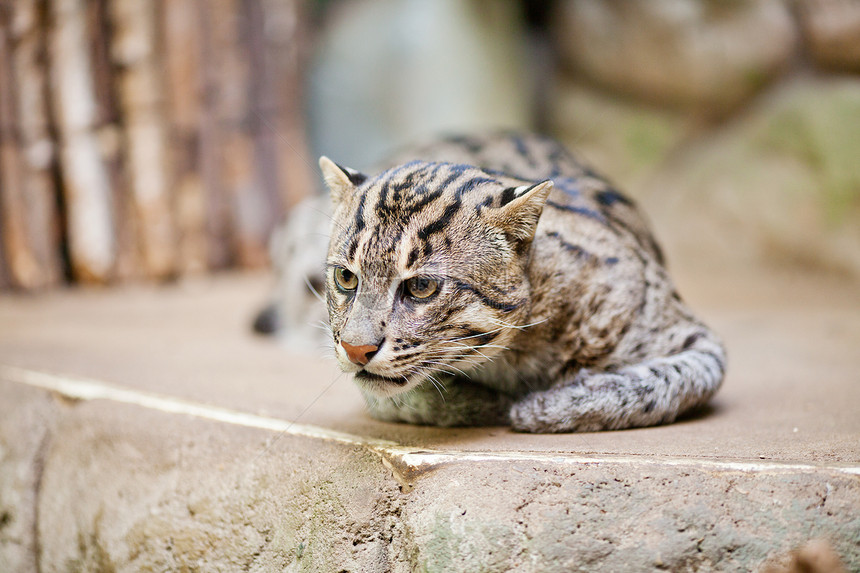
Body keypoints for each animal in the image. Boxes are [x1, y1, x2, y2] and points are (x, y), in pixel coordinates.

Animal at [262, 133, 724, 428]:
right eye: (345, 277)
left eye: (421, 287)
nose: (356, 350)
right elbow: (391, 398)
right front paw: (486, 405)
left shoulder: (699, 341)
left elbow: (667, 381)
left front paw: (548, 407)